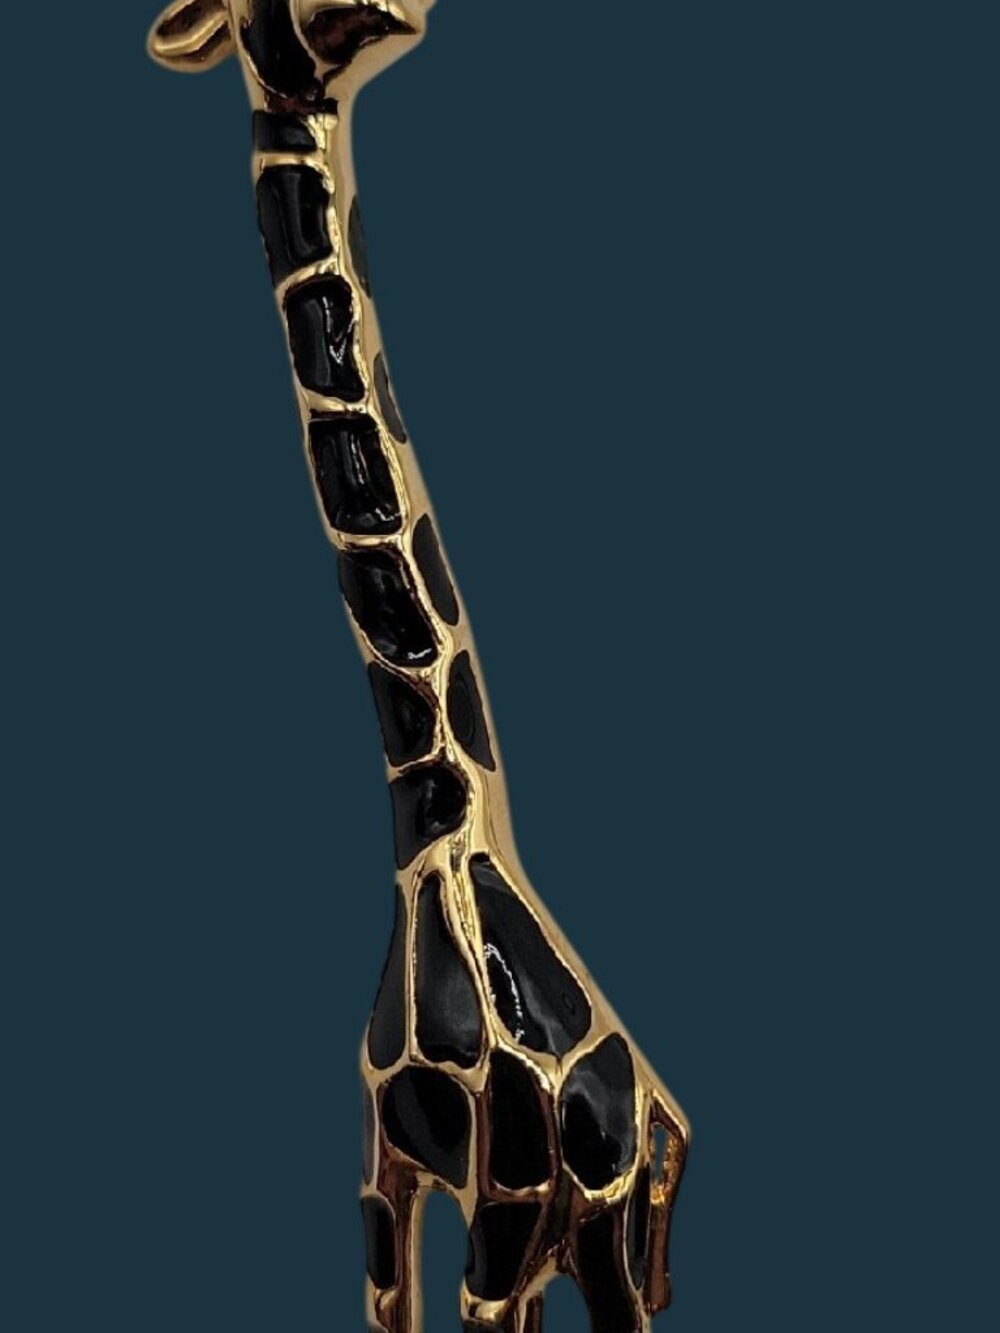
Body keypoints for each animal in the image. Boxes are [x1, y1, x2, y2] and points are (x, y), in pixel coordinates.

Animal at [148, 5, 690, 1330]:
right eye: (264, 14)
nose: (401, 11)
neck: (441, 841)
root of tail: (660, 1115)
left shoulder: (503, 1213)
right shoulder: (383, 1177)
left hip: (604, 1236)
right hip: (577, 1235)